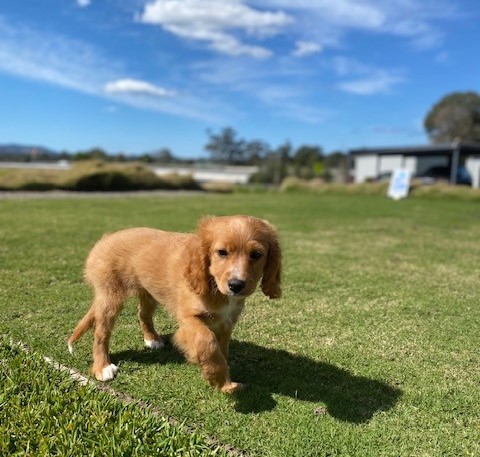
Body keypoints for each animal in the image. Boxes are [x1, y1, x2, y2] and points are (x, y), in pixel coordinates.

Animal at [67, 215, 282, 392]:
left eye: (256, 254)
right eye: (221, 252)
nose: (236, 285)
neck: (214, 286)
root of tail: (105, 239)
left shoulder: (226, 321)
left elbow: (222, 347)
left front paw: (223, 371)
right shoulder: (188, 318)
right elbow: (207, 341)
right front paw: (219, 379)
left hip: (148, 292)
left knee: (142, 314)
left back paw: (152, 339)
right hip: (110, 296)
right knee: (101, 333)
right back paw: (102, 367)